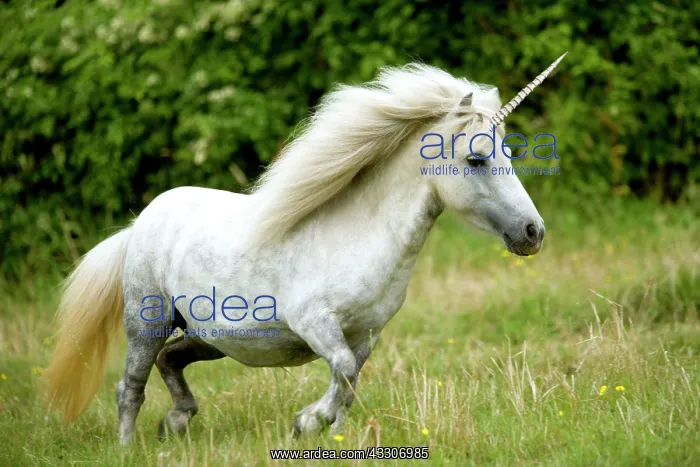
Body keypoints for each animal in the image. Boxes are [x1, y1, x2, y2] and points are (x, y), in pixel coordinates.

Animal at [42, 53, 566, 445]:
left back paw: (176, 422)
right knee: (129, 386)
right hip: (145, 323)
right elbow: (343, 371)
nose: (532, 232)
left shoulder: (367, 334)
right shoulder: (316, 323)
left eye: (508, 151)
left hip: (210, 337)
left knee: (171, 361)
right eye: (476, 158)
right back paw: (129, 446)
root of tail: (141, 223)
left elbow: (349, 383)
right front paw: (305, 422)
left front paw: (328, 430)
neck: (358, 238)